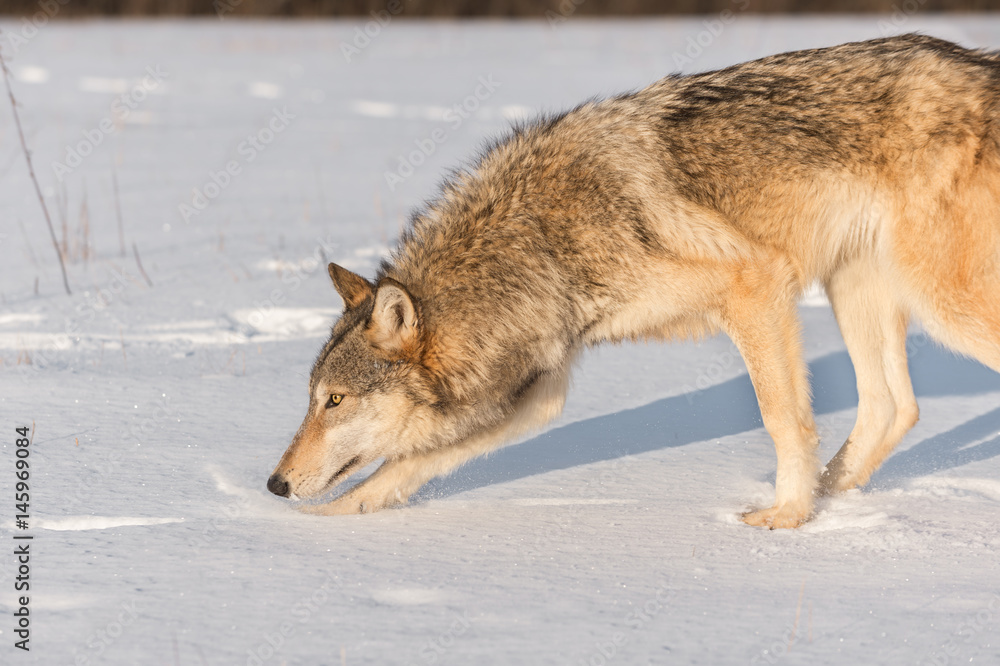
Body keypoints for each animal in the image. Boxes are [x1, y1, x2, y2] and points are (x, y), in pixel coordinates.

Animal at [267, 34, 1000, 528]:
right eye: (312, 400)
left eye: (334, 402)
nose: (274, 484)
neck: (539, 243)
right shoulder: (541, 390)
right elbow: (405, 466)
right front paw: (320, 528)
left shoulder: (756, 285)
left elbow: (782, 417)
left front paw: (786, 520)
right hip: (858, 288)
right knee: (894, 407)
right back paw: (834, 491)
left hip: (944, 304)